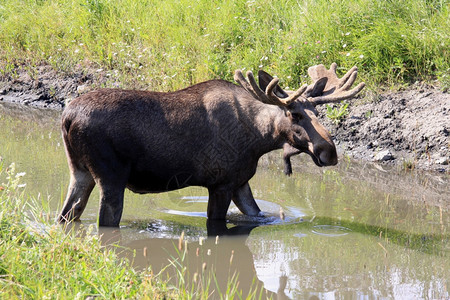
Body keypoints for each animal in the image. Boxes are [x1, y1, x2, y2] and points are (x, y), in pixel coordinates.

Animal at [58, 63, 364, 227]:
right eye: (295, 114)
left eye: (318, 112)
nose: (330, 152)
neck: (259, 139)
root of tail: (67, 117)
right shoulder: (221, 183)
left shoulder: (240, 182)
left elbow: (257, 212)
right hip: (111, 176)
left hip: (79, 171)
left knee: (66, 216)